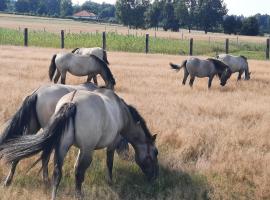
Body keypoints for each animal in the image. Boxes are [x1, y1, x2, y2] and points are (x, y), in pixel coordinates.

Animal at [0, 89, 159, 200]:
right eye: (155, 152)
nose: (154, 177)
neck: (121, 113)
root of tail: (71, 103)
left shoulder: (78, 148)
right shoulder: (109, 144)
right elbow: (109, 163)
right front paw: (110, 181)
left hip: (61, 146)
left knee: (56, 172)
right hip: (87, 150)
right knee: (78, 173)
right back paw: (78, 195)